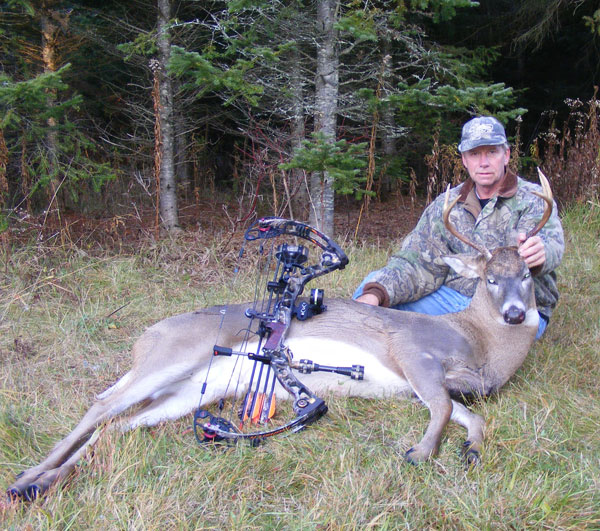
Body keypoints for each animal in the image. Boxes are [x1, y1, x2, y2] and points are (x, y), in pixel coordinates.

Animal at [7, 175, 556, 502]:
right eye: (490, 279)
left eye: (527, 275)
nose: (514, 314)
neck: (481, 344)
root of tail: (146, 336)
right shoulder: (412, 353)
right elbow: (444, 407)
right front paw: (419, 453)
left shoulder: (426, 384)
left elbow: (472, 415)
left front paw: (470, 449)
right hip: (173, 355)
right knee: (102, 405)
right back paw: (25, 480)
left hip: (191, 392)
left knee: (119, 425)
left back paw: (40, 482)